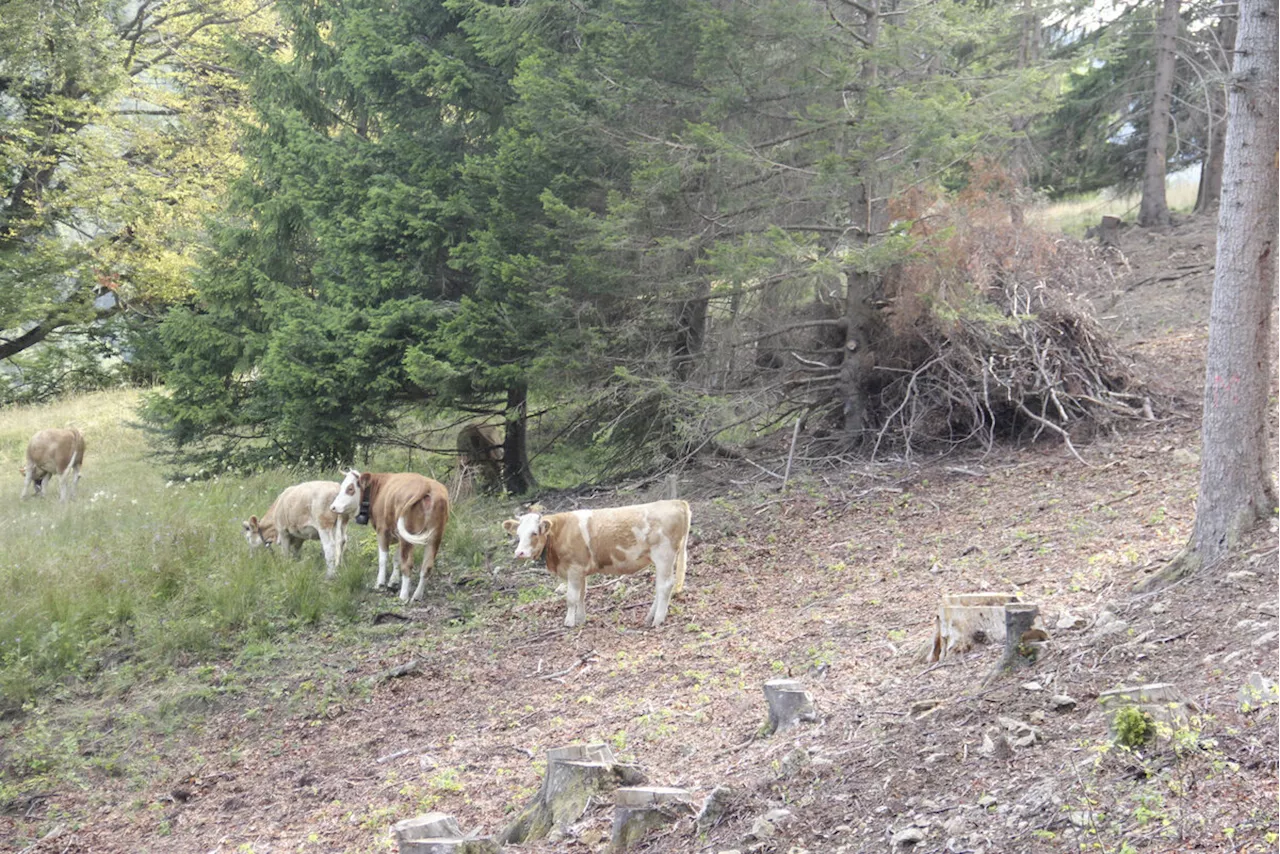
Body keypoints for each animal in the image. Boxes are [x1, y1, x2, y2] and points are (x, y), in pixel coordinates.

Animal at [504, 496, 696, 632]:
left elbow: (571, 598)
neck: (560, 533)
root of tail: (676, 502)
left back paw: (658, 619)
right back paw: (650, 616)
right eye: (518, 534)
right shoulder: (580, 571)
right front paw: (580, 619)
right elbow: (581, 595)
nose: (519, 553)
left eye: (534, 533)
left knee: (665, 585)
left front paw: (569, 622)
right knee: (660, 586)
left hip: (664, 555)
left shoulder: (574, 569)